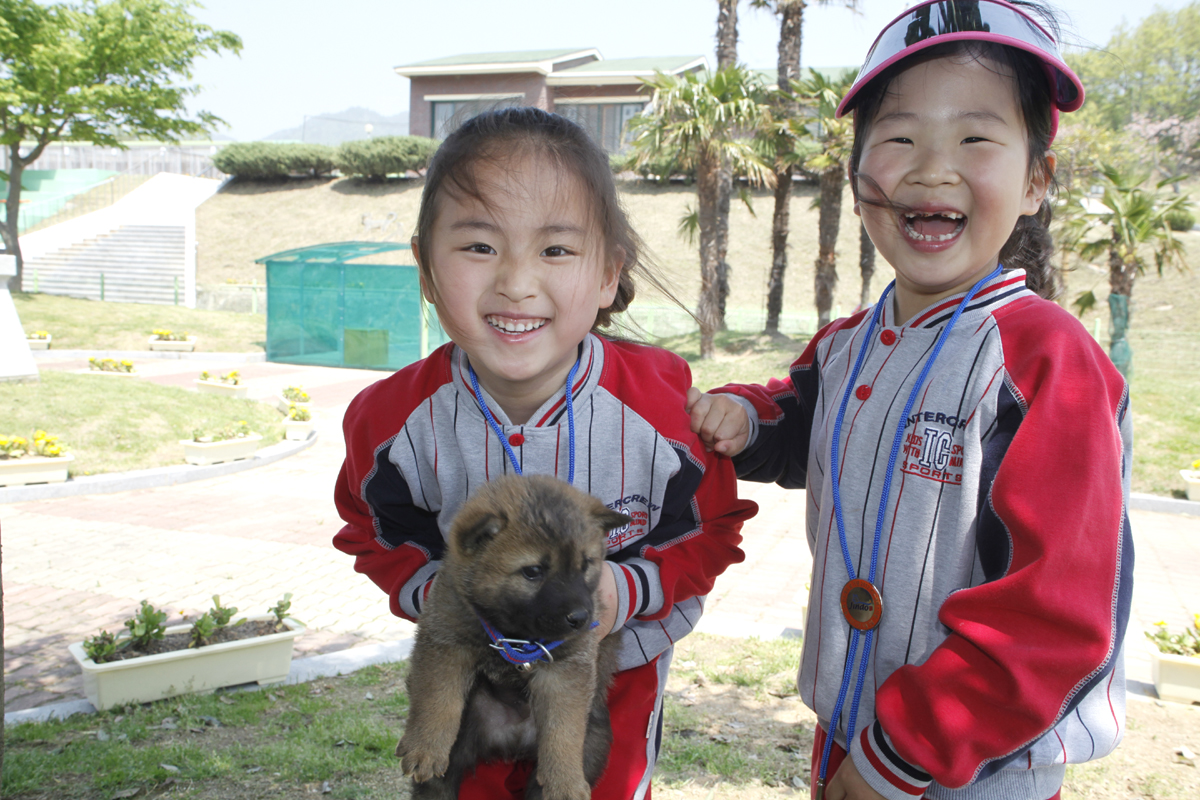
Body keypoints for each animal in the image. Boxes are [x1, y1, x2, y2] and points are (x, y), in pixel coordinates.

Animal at [398, 474, 633, 800]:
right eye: (533, 571)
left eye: (586, 564)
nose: (581, 618)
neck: (515, 636)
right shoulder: (446, 641)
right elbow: (437, 698)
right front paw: (425, 747)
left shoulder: (566, 670)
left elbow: (564, 729)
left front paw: (565, 781)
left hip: (590, 743)